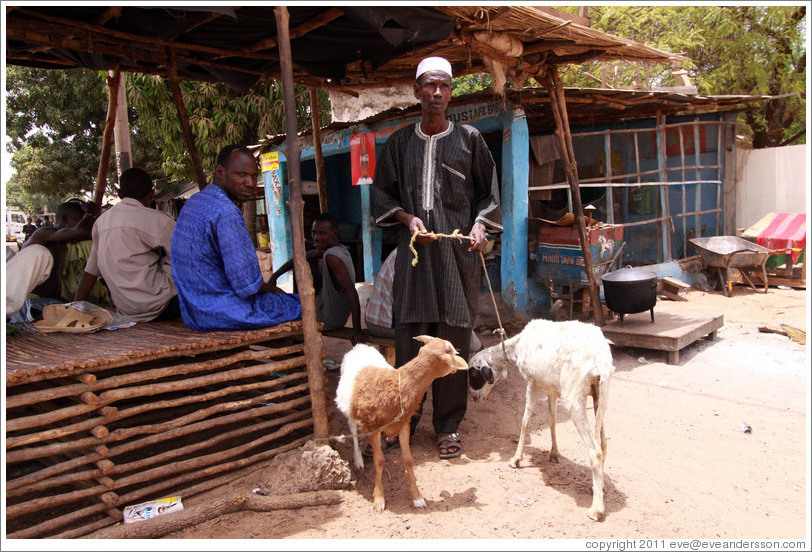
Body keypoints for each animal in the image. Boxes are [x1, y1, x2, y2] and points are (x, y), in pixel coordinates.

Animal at [334, 336, 466, 512]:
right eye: (451, 352)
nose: (457, 368)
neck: (398, 385)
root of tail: (359, 346)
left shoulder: (404, 426)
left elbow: (408, 460)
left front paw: (417, 498)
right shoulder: (375, 428)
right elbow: (379, 461)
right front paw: (379, 499)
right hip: (349, 408)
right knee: (353, 430)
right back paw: (358, 460)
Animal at [466, 320, 612, 520]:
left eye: (474, 375)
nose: (474, 398)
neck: (517, 345)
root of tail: (600, 361)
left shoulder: (532, 383)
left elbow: (525, 421)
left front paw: (516, 459)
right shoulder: (551, 389)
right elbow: (552, 420)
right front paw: (554, 454)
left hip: (574, 398)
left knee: (595, 450)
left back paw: (596, 509)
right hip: (599, 396)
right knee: (603, 444)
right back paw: (598, 487)